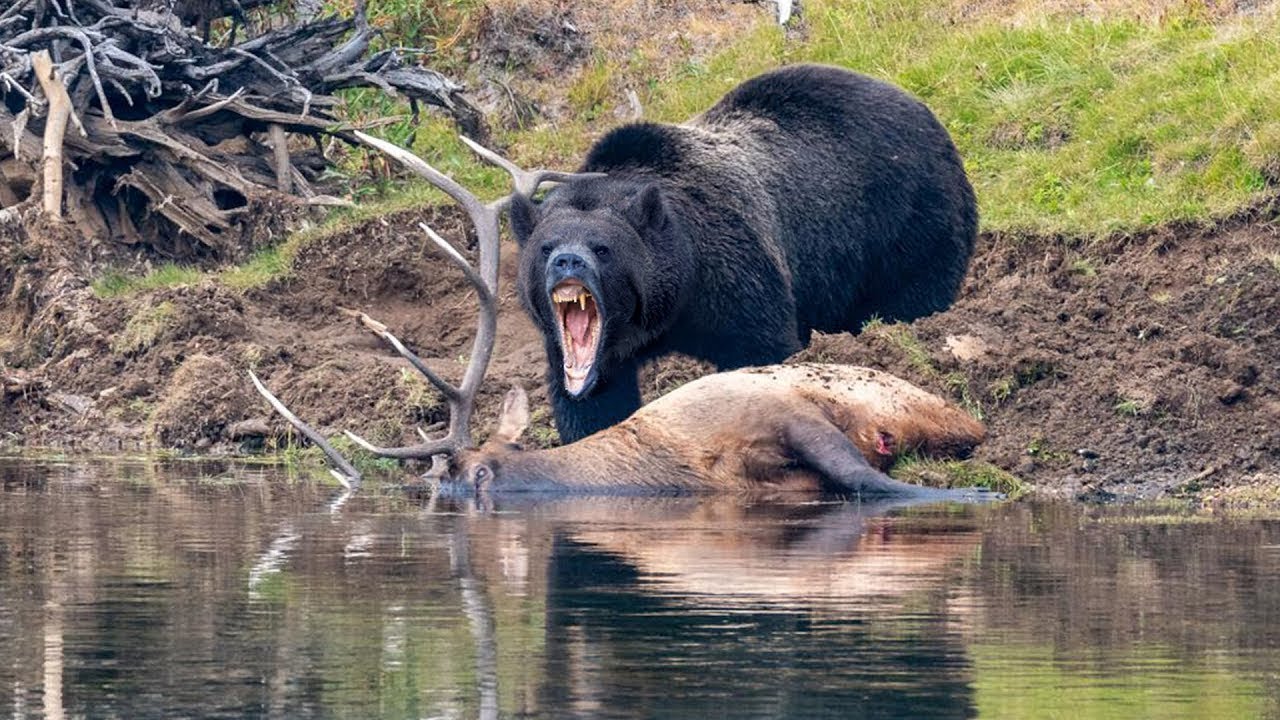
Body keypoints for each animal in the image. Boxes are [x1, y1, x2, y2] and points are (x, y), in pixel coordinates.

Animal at [509, 63, 978, 443]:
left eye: (602, 248)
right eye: (545, 247)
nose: (568, 260)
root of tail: (920, 106)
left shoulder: (734, 272)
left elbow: (762, 346)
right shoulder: (584, 354)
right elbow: (591, 402)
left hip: (905, 217)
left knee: (914, 289)